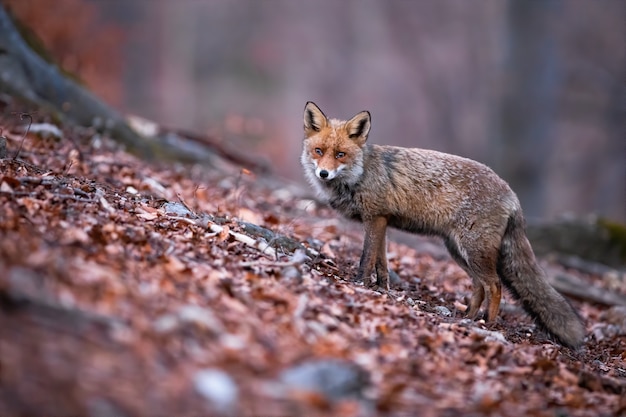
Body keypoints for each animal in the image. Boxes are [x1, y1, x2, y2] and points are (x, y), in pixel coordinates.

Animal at [300, 101, 584, 348]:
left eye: (340, 154)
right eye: (319, 151)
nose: (323, 173)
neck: (360, 175)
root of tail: (512, 194)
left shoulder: (375, 218)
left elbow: (366, 258)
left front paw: (359, 284)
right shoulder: (382, 222)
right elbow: (382, 263)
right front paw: (382, 288)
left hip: (474, 251)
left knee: (494, 286)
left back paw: (487, 324)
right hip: (458, 251)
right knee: (479, 286)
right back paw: (467, 317)